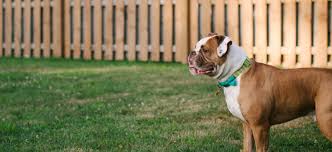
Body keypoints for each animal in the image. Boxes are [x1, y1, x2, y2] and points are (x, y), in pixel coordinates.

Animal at [188, 33, 332, 151]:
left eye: (205, 50)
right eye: (195, 47)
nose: (191, 53)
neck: (236, 74)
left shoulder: (260, 127)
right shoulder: (247, 126)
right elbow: (247, 147)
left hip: (325, 121)